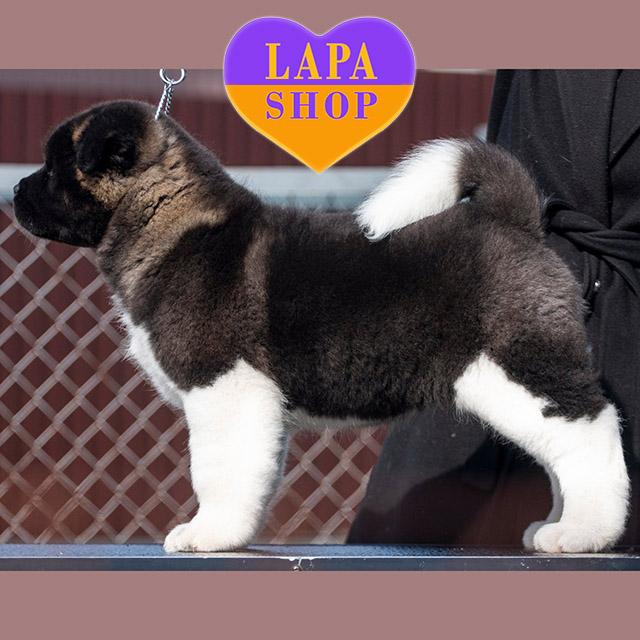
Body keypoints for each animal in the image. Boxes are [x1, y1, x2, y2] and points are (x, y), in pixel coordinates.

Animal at [13, 100, 630, 553]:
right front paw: (234, 532)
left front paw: (207, 533)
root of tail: (514, 220)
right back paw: (555, 526)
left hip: (519, 368)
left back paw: (584, 533)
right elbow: (254, 470)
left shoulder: (223, 386)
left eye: (53, 168)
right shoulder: (254, 403)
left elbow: (216, 469)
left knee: (588, 433)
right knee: (562, 454)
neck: (166, 215)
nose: (16, 191)